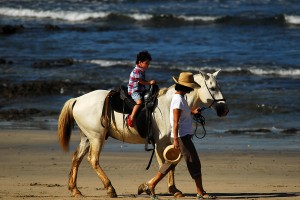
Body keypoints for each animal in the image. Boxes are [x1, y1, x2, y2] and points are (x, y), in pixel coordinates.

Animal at [57, 69, 229, 198]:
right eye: (213, 88)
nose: (224, 110)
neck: (168, 105)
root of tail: (78, 99)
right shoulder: (160, 143)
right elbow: (164, 165)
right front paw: (161, 188)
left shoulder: (170, 143)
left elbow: (170, 166)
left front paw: (173, 190)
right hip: (96, 137)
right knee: (93, 160)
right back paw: (110, 188)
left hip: (87, 137)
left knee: (77, 158)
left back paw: (75, 190)